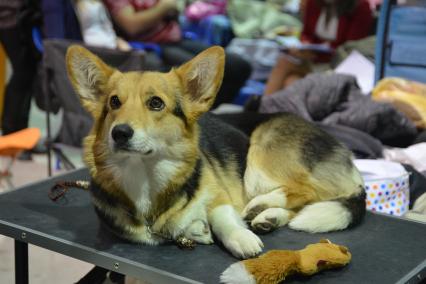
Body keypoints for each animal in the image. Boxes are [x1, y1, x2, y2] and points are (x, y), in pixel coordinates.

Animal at [66, 45, 366, 260]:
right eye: (114, 102)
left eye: (155, 103)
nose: (119, 133)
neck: (146, 177)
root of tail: (348, 157)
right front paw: (197, 230)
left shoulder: (219, 195)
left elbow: (223, 217)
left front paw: (240, 238)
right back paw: (268, 217)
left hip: (260, 155)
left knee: (307, 190)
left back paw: (261, 206)